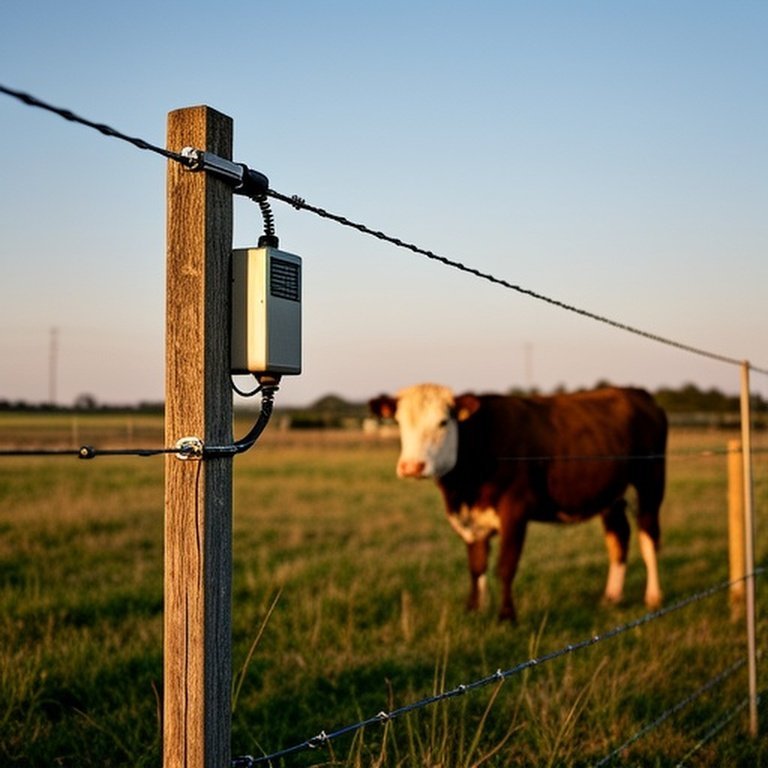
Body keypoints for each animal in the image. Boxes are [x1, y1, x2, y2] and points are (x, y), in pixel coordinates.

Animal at [369, 383, 667, 623]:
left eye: (443, 422)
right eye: (399, 422)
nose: (411, 466)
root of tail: (635, 393)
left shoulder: (515, 511)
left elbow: (505, 566)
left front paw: (506, 616)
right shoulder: (473, 519)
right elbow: (476, 566)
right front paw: (474, 610)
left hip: (649, 485)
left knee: (648, 537)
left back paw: (653, 597)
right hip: (611, 497)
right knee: (619, 537)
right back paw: (611, 597)